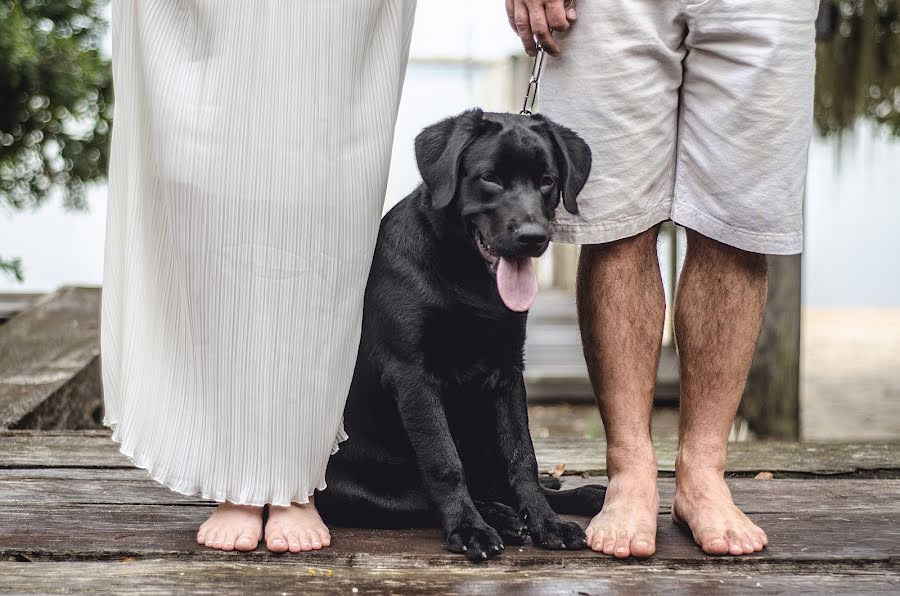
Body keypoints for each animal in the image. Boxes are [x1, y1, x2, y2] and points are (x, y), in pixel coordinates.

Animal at [316, 109, 604, 560]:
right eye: (490, 178)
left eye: (547, 180)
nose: (533, 238)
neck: (467, 276)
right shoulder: (412, 375)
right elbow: (444, 463)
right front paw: (469, 529)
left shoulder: (508, 372)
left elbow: (522, 457)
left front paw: (547, 522)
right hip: (355, 488)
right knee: (422, 497)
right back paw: (499, 517)